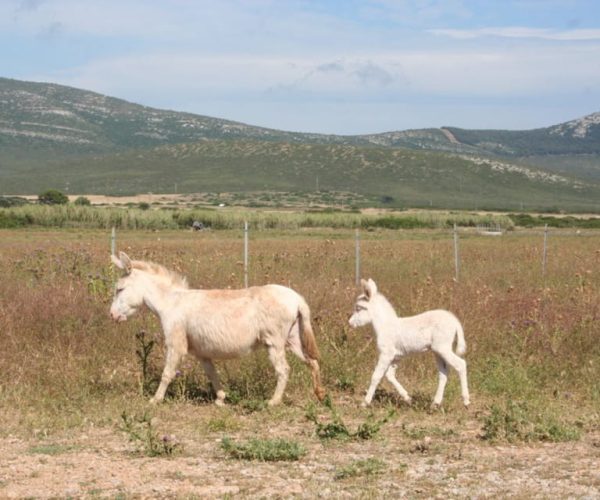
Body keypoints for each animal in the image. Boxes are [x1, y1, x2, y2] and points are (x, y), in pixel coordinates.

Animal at [350, 280, 472, 408]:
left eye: (358, 308)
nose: (350, 323)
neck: (385, 326)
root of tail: (455, 321)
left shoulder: (386, 354)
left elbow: (376, 376)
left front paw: (365, 402)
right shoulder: (396, 356)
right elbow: (389, 375)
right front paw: (407, 398)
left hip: (443, 348)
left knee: (461, 364)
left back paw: (466, 401)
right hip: (437, 351)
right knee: (443, 373)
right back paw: (435, 403)